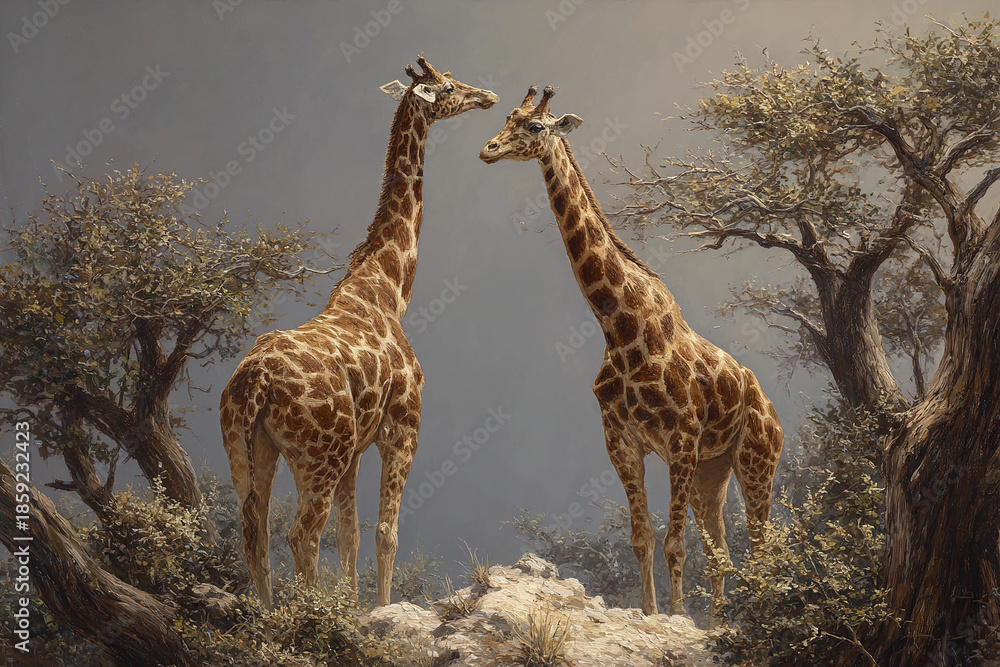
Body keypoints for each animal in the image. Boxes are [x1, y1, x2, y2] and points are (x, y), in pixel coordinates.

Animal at [219, 57, 497, 609]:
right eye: (449, 87)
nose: (488, 96)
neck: (387, 288)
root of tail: (254, 383)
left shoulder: (358, 446)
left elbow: (350, 532)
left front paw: (353, 607)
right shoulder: (402, 428)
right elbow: (385, 533)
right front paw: (381, 610)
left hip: (249, 447)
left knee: (254, 531)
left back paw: (269, 615)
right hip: (318, 454)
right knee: (301, 534)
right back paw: (307, 615)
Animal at [479, 86, 783, 617]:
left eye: (534, 127)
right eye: (507, 117)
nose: (489, 149)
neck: (619, 328)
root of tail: (776, 417)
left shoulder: (681, 441)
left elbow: (674, 544)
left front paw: (677, 617)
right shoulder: (621, 441)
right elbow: (643, 538)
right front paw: (651, 611)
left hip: (755, 460)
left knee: (759, 546)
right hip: (713, 472)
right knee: (722, 551)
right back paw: (718, 623)